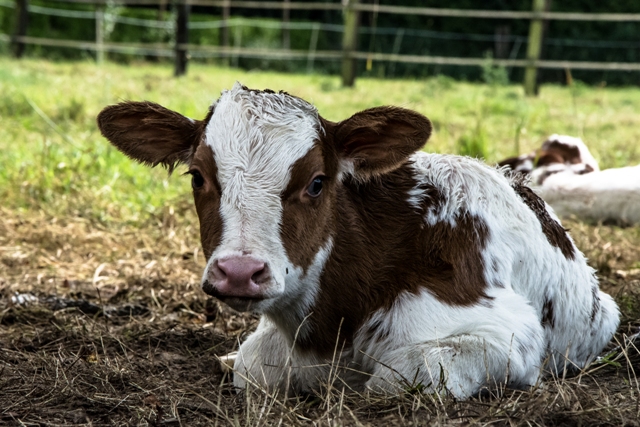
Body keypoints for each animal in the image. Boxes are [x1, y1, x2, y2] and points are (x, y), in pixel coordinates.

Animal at [96, 84, 620, 402]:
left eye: (317, 182)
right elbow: (253, 365)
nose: (240, 273)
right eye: (197, 176)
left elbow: (399, 375)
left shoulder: (507, 333)